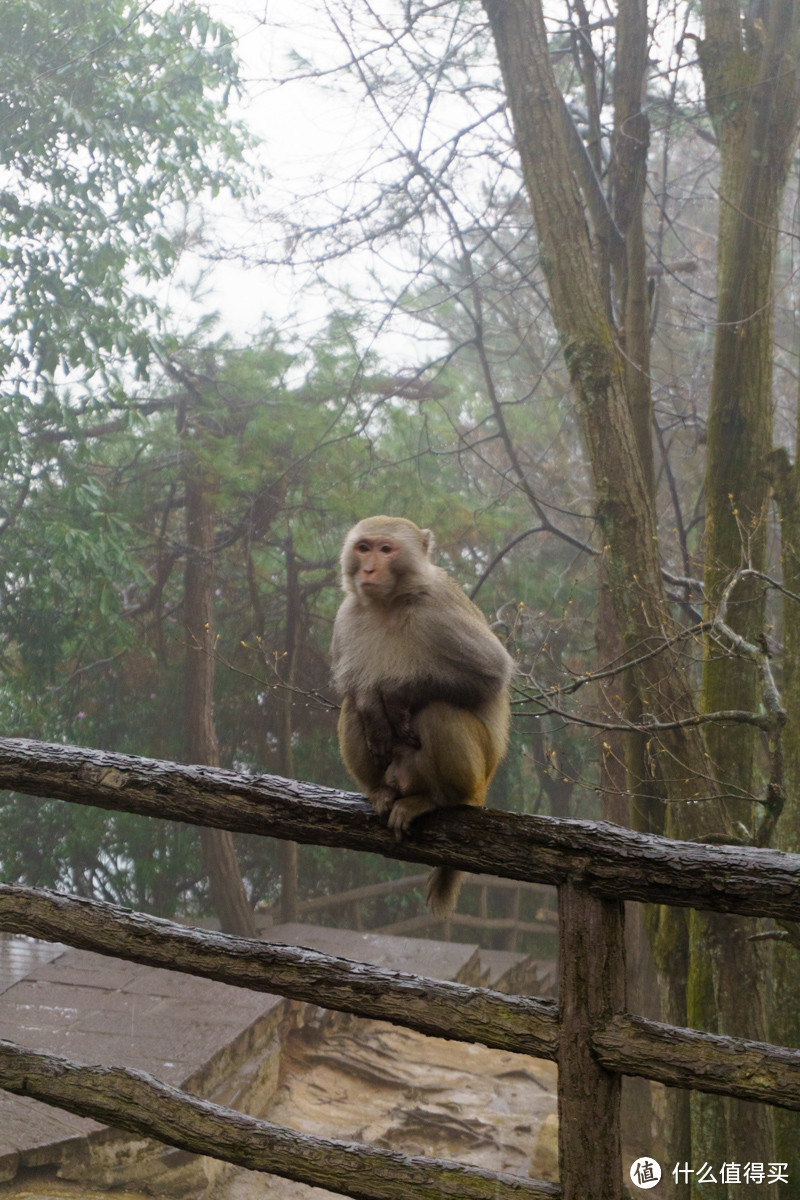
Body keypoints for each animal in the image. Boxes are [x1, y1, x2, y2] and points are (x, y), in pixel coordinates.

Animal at [331, 516, 513, 916]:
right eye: (364, 548)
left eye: (386, 549)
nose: (368, 569)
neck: (390, 604)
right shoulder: (347, 616)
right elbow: (355, 691)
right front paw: (373, 704)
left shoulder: (438, 610)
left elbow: (490, 675)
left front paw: (397, 692)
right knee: (352, 709)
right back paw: (380, 790)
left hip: (474, 773)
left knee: (438, 711)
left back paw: (439, 800)